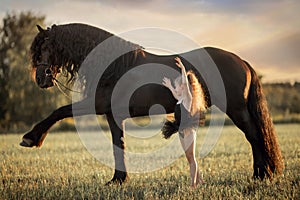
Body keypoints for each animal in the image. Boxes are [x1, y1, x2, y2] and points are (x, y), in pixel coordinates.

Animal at [19, 23, 282, 183]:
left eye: (44, 47)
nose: (41, 79)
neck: (113, 66)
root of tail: (242, 61)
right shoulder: (112, 114)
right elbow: (118, 144)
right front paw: (118, 179)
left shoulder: (96, 104)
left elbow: (58, 112)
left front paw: (31, 138)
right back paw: (262, 173)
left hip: (237, 109)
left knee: (254, 135)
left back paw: (262, 174)